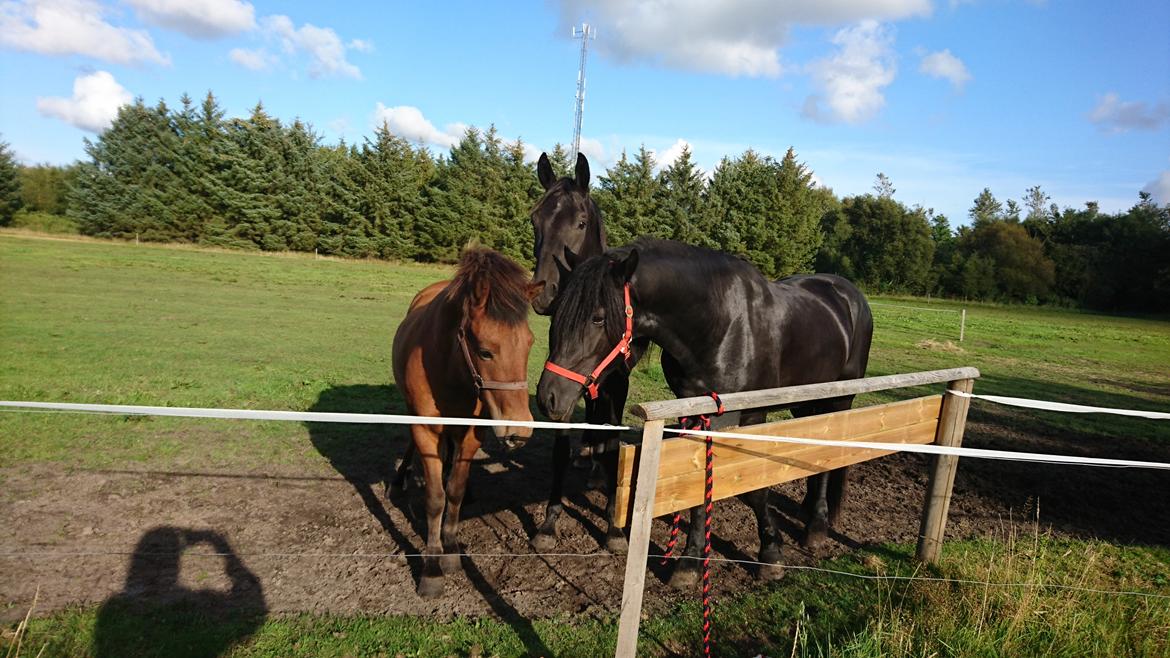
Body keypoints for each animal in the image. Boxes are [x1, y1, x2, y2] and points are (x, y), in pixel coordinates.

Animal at [390, 247, 540, 594]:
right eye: (485, 351)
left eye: (529, 343)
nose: (519, 430)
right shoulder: (425, 430)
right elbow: (435, 498)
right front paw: (432, 568)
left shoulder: (473, 434)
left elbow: (454, 491)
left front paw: (451, 548)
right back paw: (403, 477)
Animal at [535, 237, 870, 580]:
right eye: (557, 313)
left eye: (598, 318)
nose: (549, 396)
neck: (718, 325)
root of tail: (848, 294)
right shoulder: (693, 410)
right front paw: (690, 561)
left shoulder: (751, 413)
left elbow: (754, 491)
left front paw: (770, 553)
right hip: (807, 401)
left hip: (840, 397)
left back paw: (816, 526)